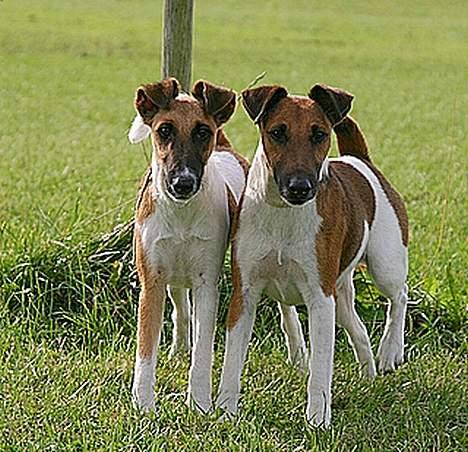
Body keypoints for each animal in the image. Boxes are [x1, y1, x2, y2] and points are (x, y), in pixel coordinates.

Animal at [128, 77, 250, 414]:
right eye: (164, 130)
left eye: (202, 131)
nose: (182, 183)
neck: (181, 213)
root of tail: (225, 148)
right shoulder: (153, 281)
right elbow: (146, 351)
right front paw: (144, 405)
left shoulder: (207, 281)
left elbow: (204, 349)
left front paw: (199, 403)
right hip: (173, 280)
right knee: (181, 312)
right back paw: (180, 348)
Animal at [217, 84, 410, 428]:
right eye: (277, 133)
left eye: (319, 134)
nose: (300, 187)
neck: (283, 212)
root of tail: (359, 160)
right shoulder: (245, 294)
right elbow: (232, 360)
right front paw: (226, 410)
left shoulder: (320, 300)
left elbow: (320, 367)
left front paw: (318, 419)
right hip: (342, 296)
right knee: (360, 331)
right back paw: (369, 375)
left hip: (385, 263)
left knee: (399, 295)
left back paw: (390, 351)